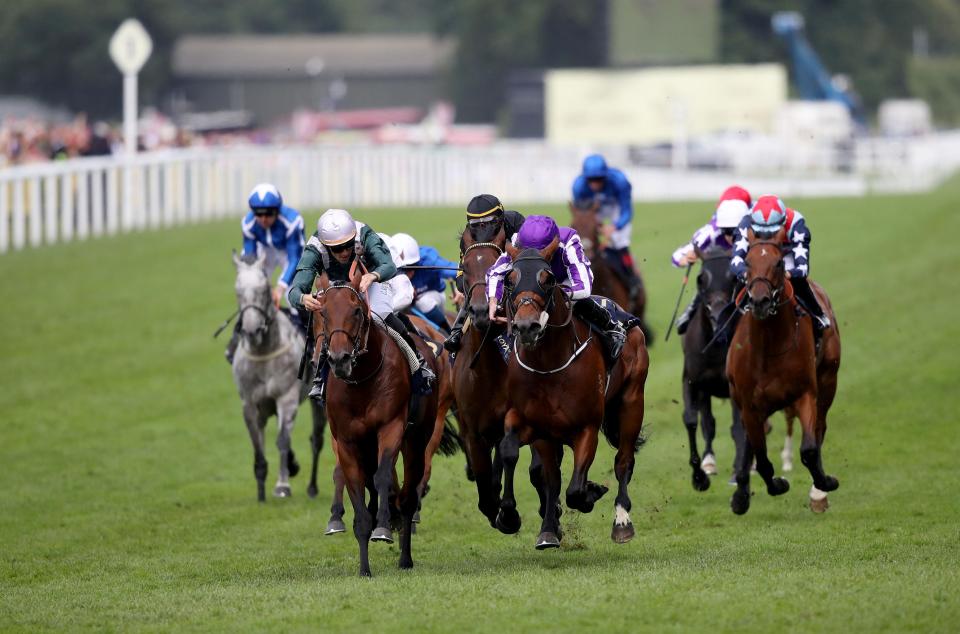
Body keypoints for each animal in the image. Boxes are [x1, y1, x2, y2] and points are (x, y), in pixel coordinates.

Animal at [232, 251, 326, 498]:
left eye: (265, 289)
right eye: (237, 291)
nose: (251, 330)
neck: (263, 352)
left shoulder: (287, 398)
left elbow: (283, 440)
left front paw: (282, 485)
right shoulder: (250, 405)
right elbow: (257, 444)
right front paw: (261, 489)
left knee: (317, 440)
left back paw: (312, 486)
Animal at [314, 260, 440, 576]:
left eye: (356, 310)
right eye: (323, 312)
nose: (339, 359)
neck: (361, 381)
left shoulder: (390, 427)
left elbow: (383, 477)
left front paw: (383, 527)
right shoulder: (346, 441)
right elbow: (358, 493)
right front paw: (364, 568)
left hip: (416, 439)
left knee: (408, 494)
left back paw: (405, 557)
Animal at [496, 239, 652, 544]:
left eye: (548, 279)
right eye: (509, 280)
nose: (526, 326)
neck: (549, 364)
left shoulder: (587, 427)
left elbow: (575, 490)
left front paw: (591, 492)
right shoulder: (536, 426)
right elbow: (525, 461)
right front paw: (522, 520)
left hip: (632, 401)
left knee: (623, 460)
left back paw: (622, 520)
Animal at [728, 230, 840, 512]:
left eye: (779, 263)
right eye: (747, 261)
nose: (759, 301)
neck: (769, 346)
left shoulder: (805, 394)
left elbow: (809, 449)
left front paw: (824, 484)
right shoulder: (750, 406)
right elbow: (761, 457)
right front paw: (773, 485)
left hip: (828, 379)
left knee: (820, 427)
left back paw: (818, 492)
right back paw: (741, 493)